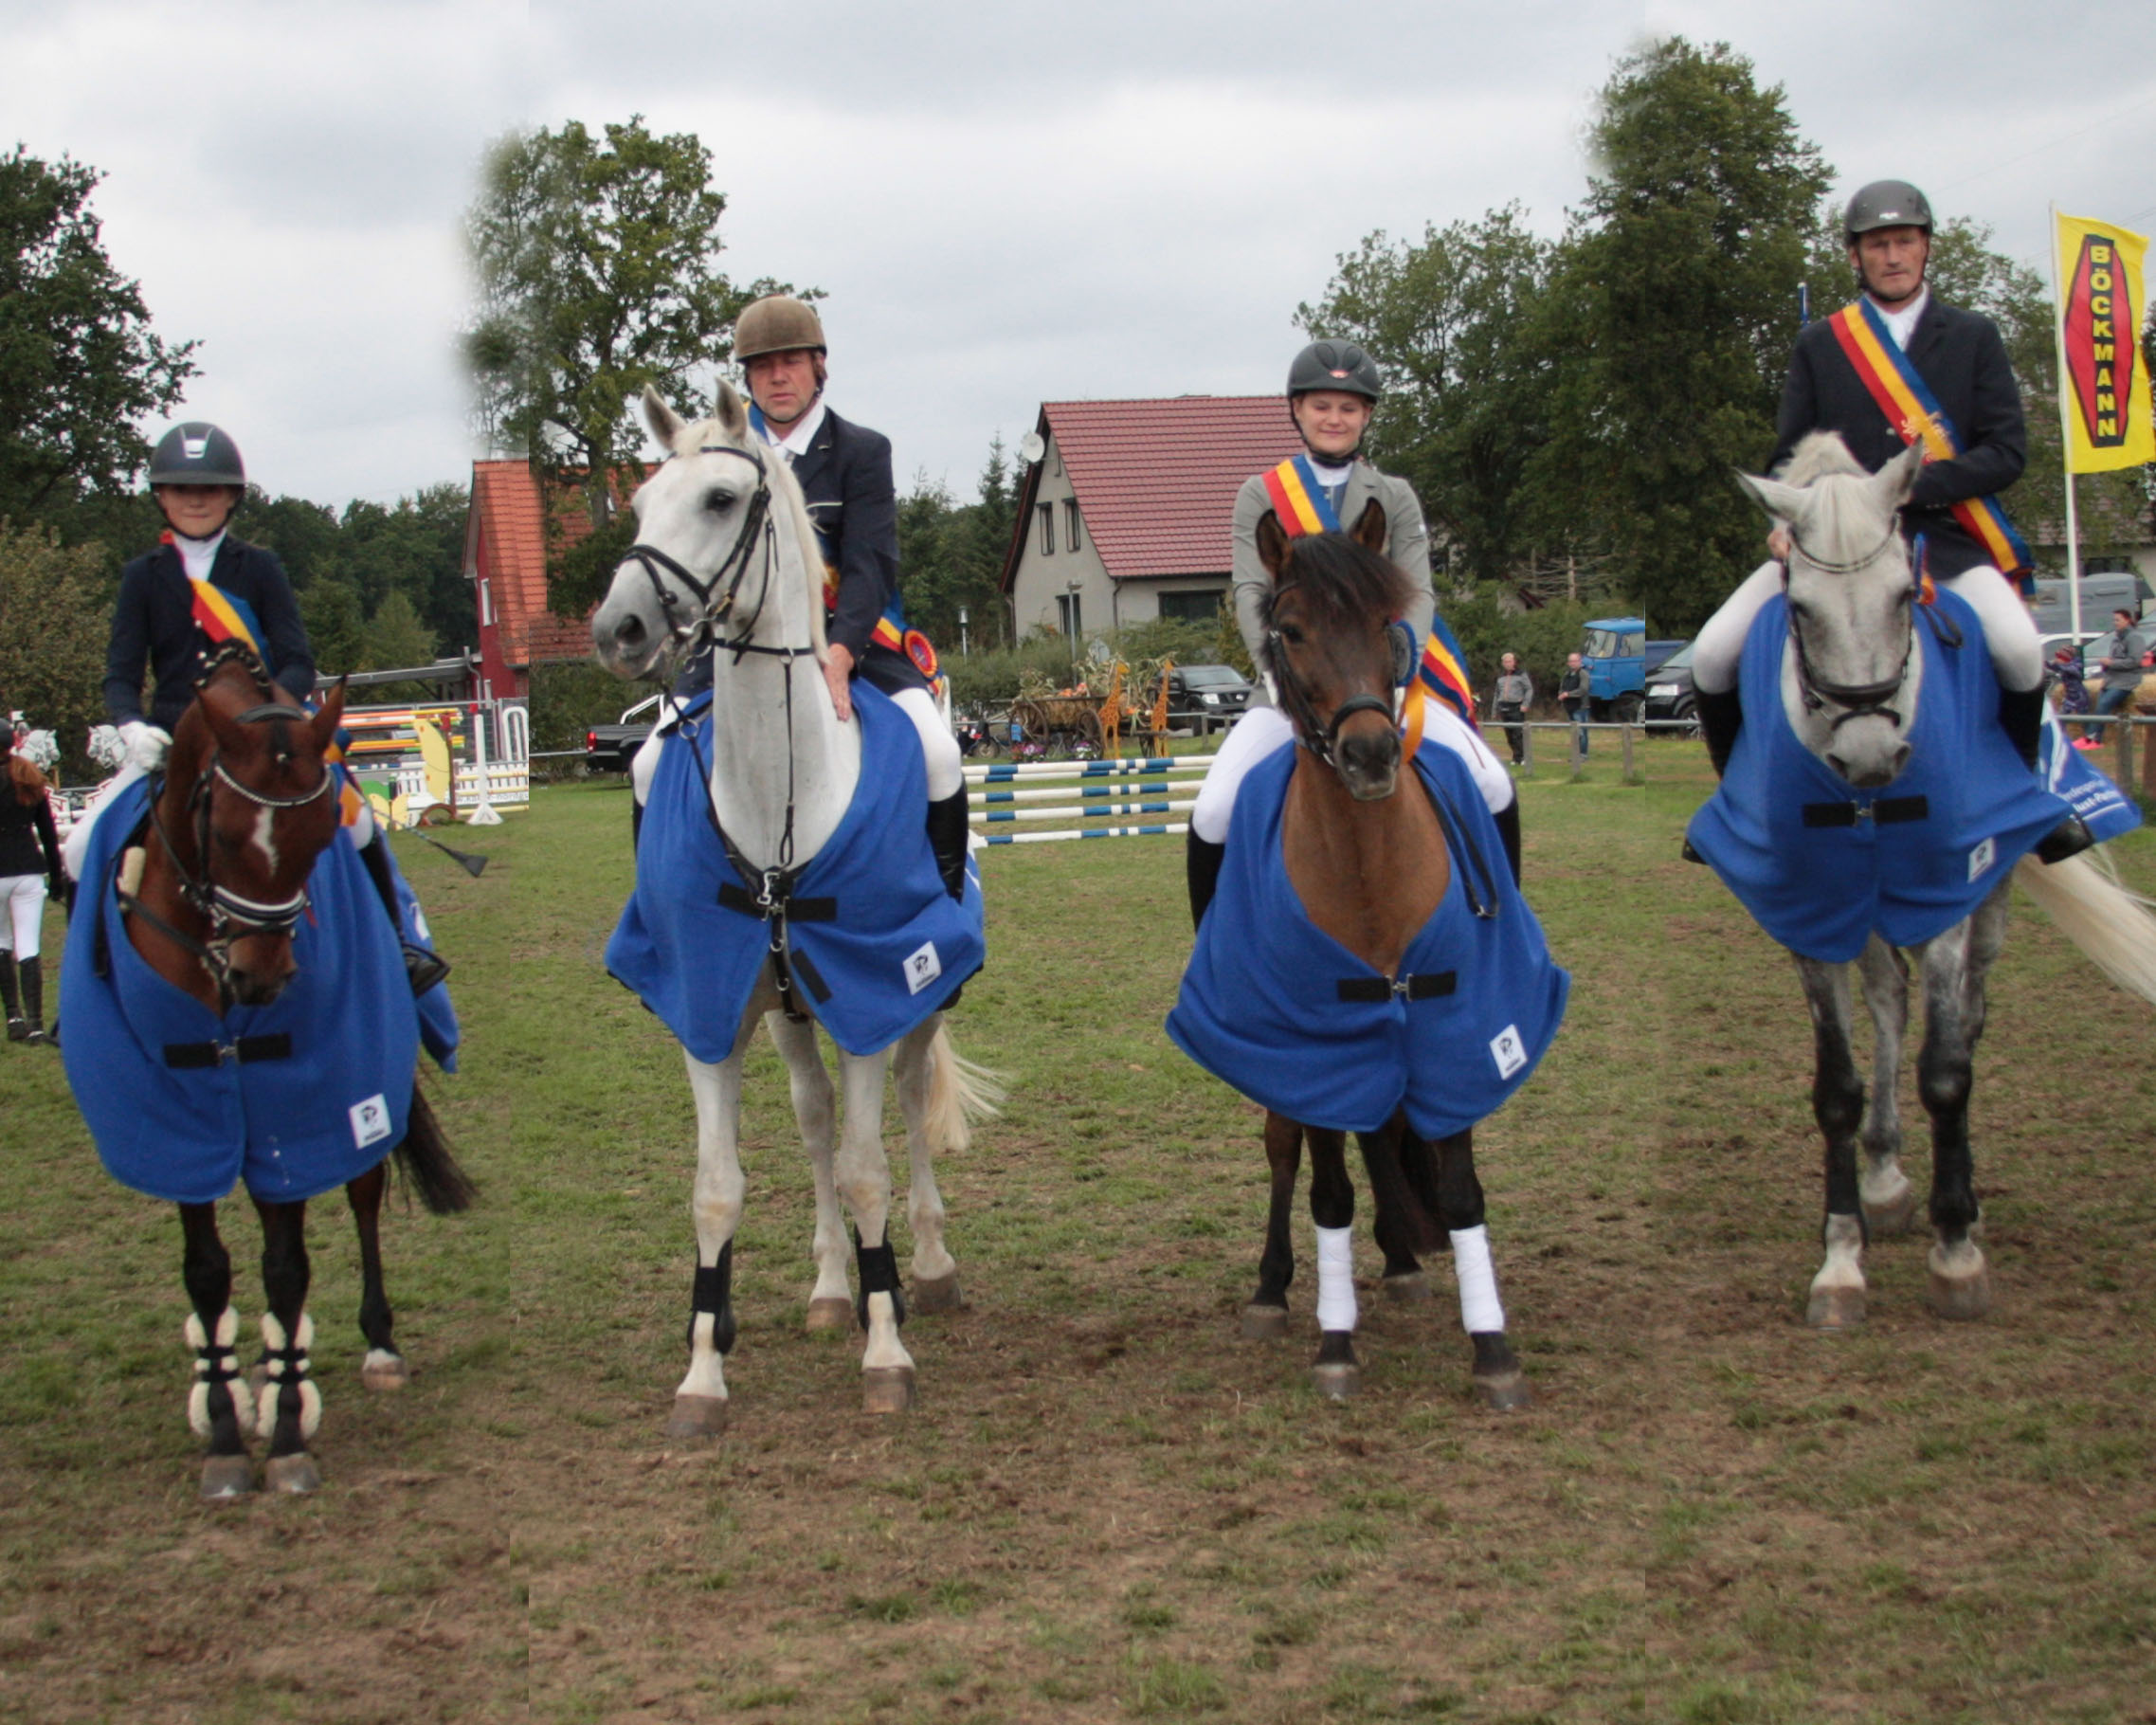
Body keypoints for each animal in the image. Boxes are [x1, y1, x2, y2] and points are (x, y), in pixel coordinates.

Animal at [80, 646, 472, 1492]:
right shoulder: (177, 1115)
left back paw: (377, 1347)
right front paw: (226, 1427)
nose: (261, 981)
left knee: (362, 1198)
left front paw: (287, 1431)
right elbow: (206, 1269)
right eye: (224, 834)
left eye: (319, 837)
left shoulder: (300, 1098)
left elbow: (286, 1266)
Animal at [586, 381, 996, 1431]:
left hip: (905, 1007)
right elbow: (717, 1191)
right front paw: (703, 1372)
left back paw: (928, 1268)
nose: (620, 629)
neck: (778, 800)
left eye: (722, 499)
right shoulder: (710, 1014)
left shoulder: (872, 994)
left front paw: (887, 1352)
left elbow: (868, 1168)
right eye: (640, 503)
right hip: (789, 1012)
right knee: (813, 1123)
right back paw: (829, 1290)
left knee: (902, 1106)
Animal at [1233, 502, 1534, 1414]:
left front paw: (1492, 1349)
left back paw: (1401, 1257)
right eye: (1291, 630)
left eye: (1384, 623)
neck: (1368, 871)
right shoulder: (1312, 1039)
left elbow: (1460, 1185)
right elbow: (1326, 1185)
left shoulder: (1457, 1020)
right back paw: (1272, 1288)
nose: (1369, 755)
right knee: (1284, 1145)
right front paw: (1335, 1344)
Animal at [1690, 437, 2147, 1328]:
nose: (1869, 754)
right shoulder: (1811, 913)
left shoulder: (1944, 898)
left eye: (1906, 594)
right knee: (1889, 999)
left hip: (1986, 898)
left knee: (1964, 1020)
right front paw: (1841, 1259)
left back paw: (1955, 1194)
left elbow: (1945, 1070)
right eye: (1799, 608)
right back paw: (1884, 1178)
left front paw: (1955, 1250)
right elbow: (1836, 1085)